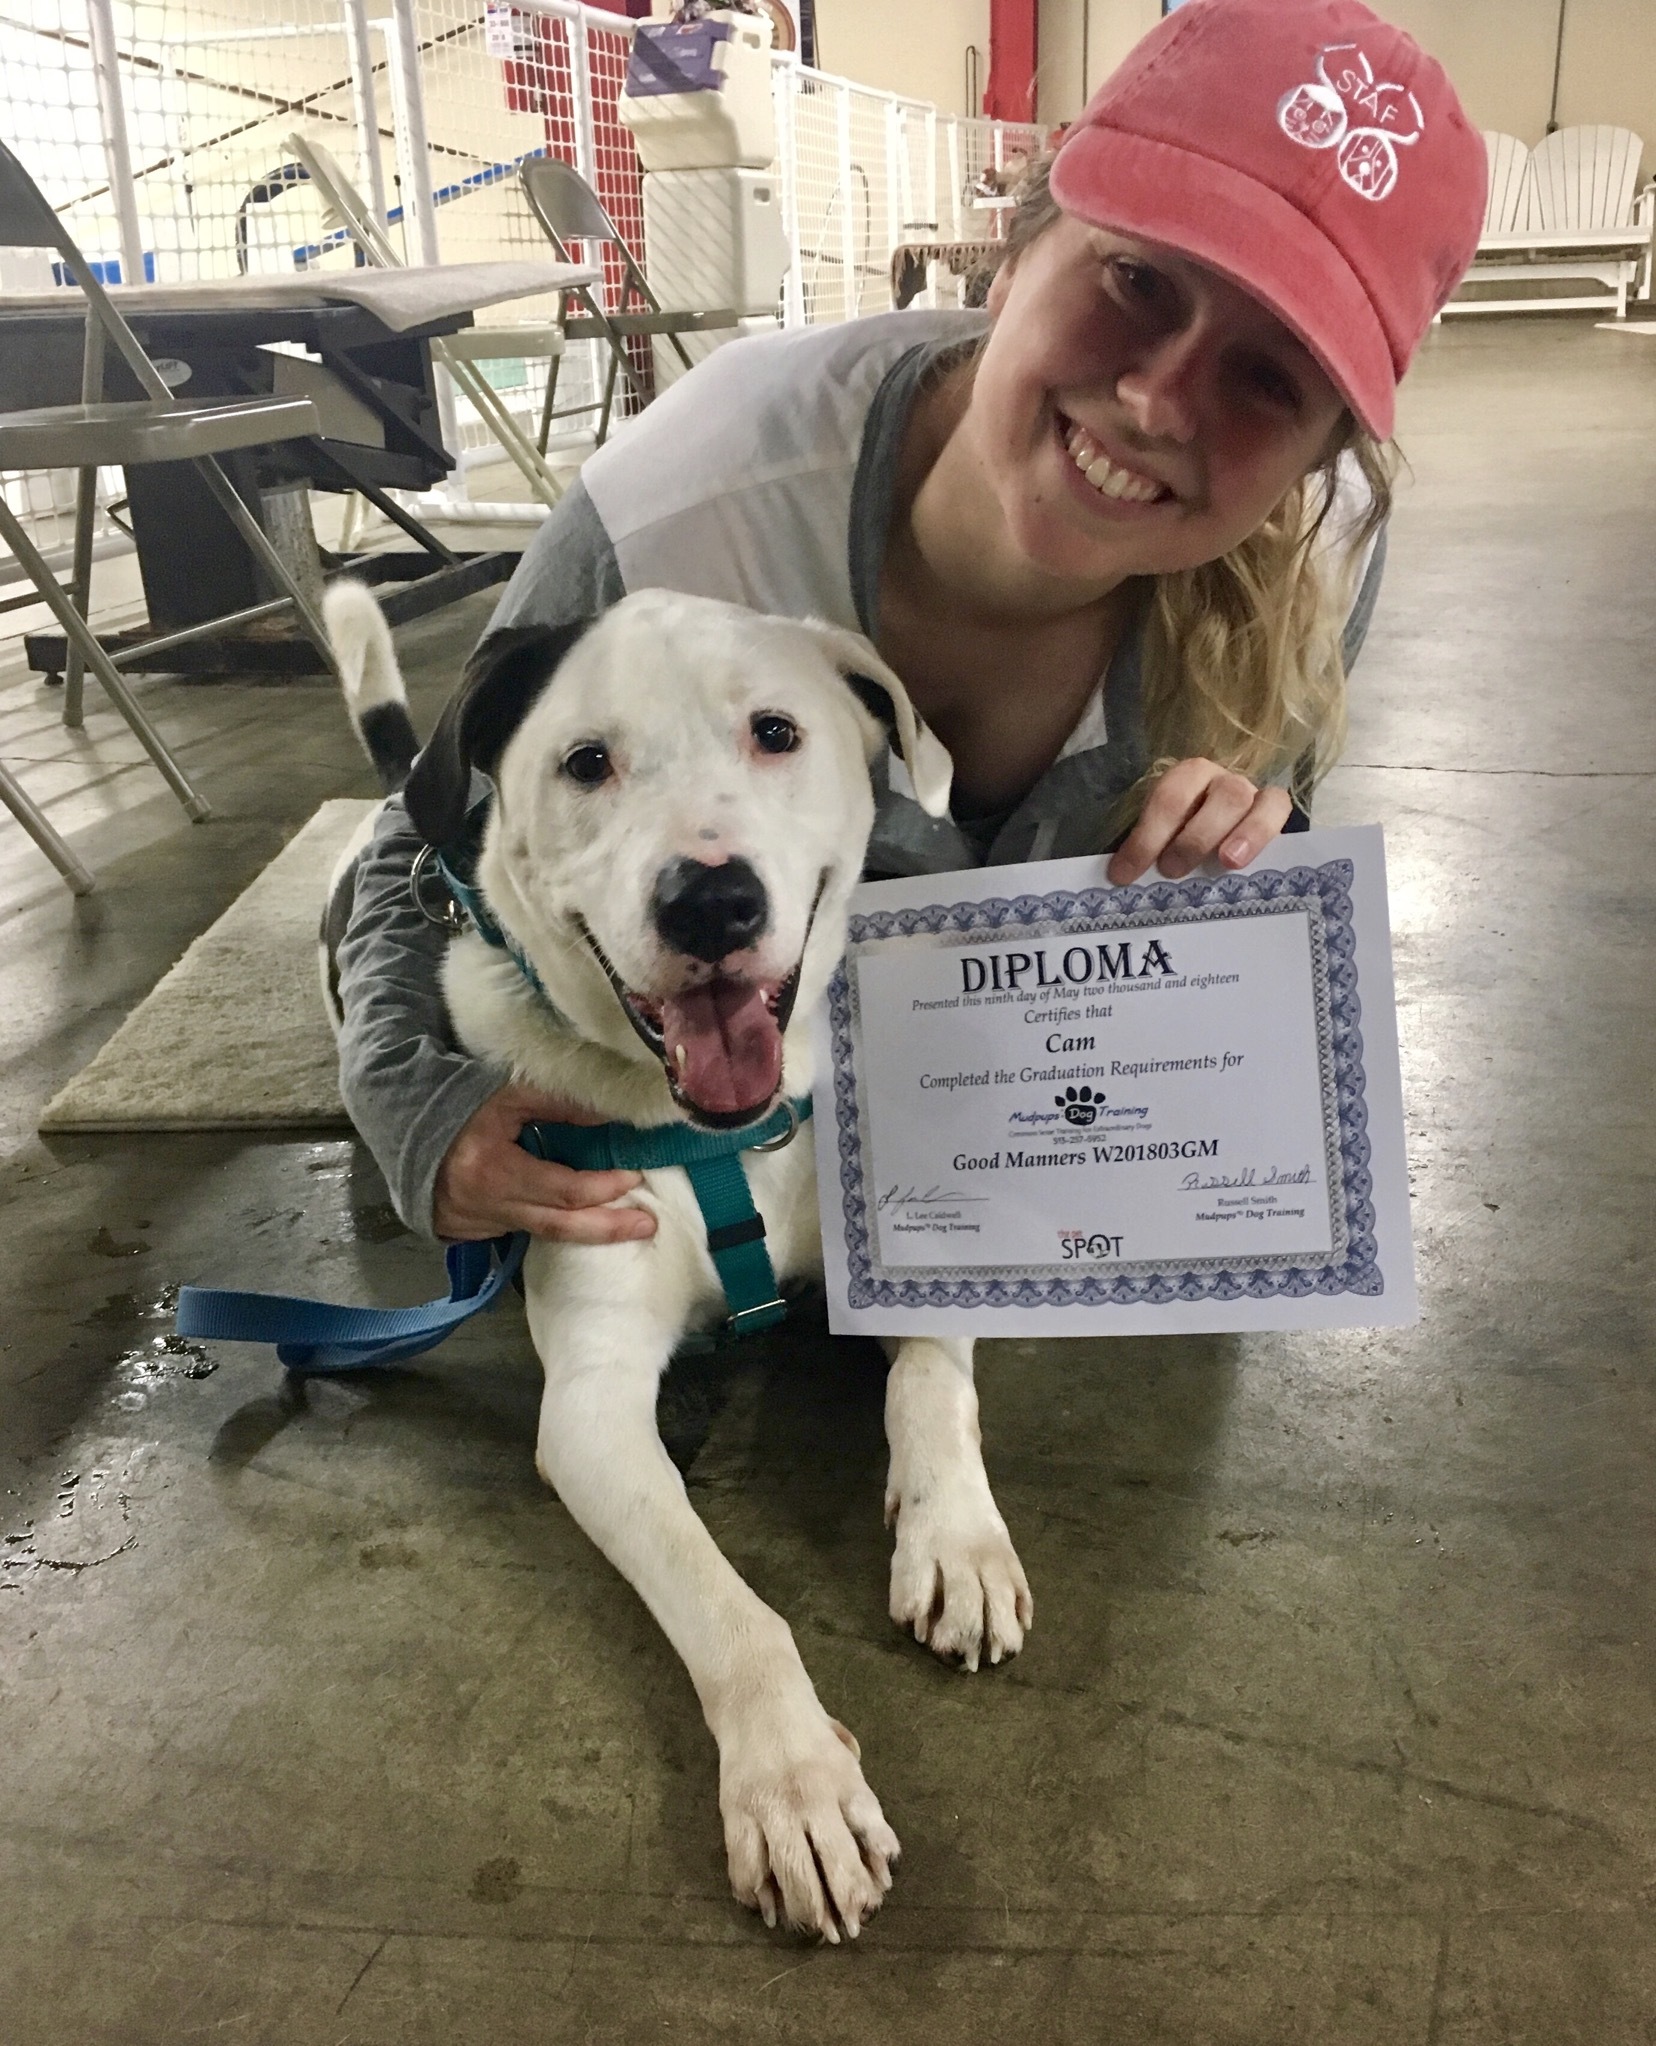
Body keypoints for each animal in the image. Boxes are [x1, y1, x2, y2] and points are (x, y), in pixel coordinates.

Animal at [319, 585, 1031, 1939]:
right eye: (586, 762)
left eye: (776, 731)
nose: (712, 904)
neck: (723, 1131)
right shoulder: (592, 1409)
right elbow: (722, 1600)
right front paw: (793, 1785)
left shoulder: (902, 1255)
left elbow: (934, 1390)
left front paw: (955, 1539)